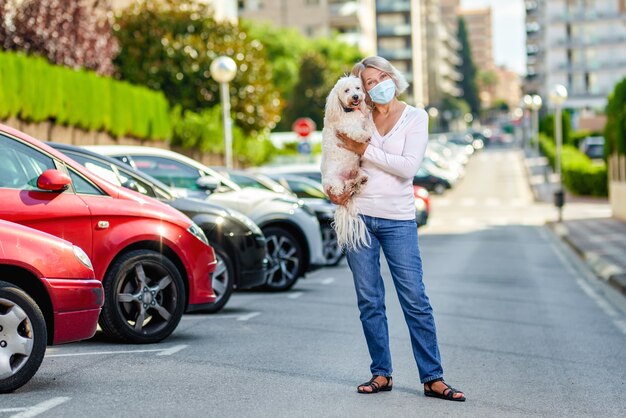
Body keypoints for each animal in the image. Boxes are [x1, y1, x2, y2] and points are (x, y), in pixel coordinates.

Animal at [320, 75, 372, 251]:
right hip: (334, 182)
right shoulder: (345, 128)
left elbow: (367, 122)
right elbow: (356, 131)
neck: (349, 112)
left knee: (358, 182)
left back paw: (359, 181)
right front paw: (365, 136)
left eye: (358, 88)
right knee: (342, 188)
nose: (356, 97)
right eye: (346, 90)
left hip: (358, 171)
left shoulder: (361, 119)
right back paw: (349, 185)